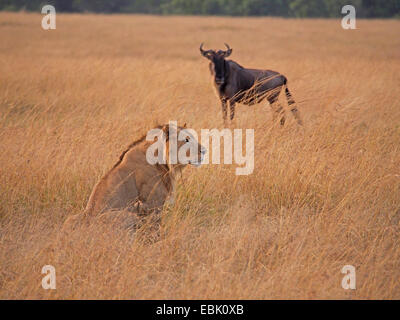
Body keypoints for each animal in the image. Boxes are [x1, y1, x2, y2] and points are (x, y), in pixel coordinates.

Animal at [63, 124, 206, 232]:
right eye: (186, 140)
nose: (204, 151)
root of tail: (88, 221)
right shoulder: (153, 204)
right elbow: (156, 230)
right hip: (128, 215)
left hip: (71, 218)